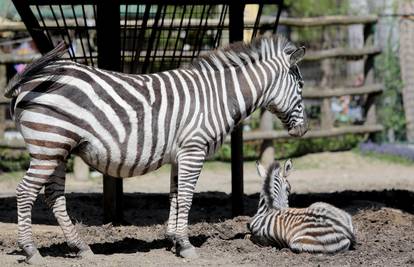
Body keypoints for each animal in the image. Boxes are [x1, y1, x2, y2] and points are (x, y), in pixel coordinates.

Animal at [4, 34, 308, 264]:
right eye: (301, 86)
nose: (303, 131)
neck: (219, 98)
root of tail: (30, 81)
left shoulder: (180, 153)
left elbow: (175, 195)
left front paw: (173, 240)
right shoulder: (194, 148)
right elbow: (186, 197)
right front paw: (186, 245)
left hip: (57, 149)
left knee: (53, 197)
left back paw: (80, 248)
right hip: (48, 145)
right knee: (25, 192)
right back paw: (31, 251)